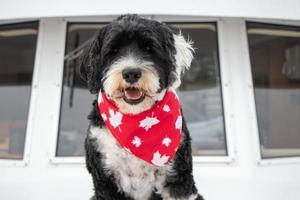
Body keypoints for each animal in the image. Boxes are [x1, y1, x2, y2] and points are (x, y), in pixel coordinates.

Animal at [80, 14, 204, 200]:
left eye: (149, 48)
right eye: (113, 51)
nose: (131, 73)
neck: (135, 116)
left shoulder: (177, 177)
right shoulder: (105, 177)